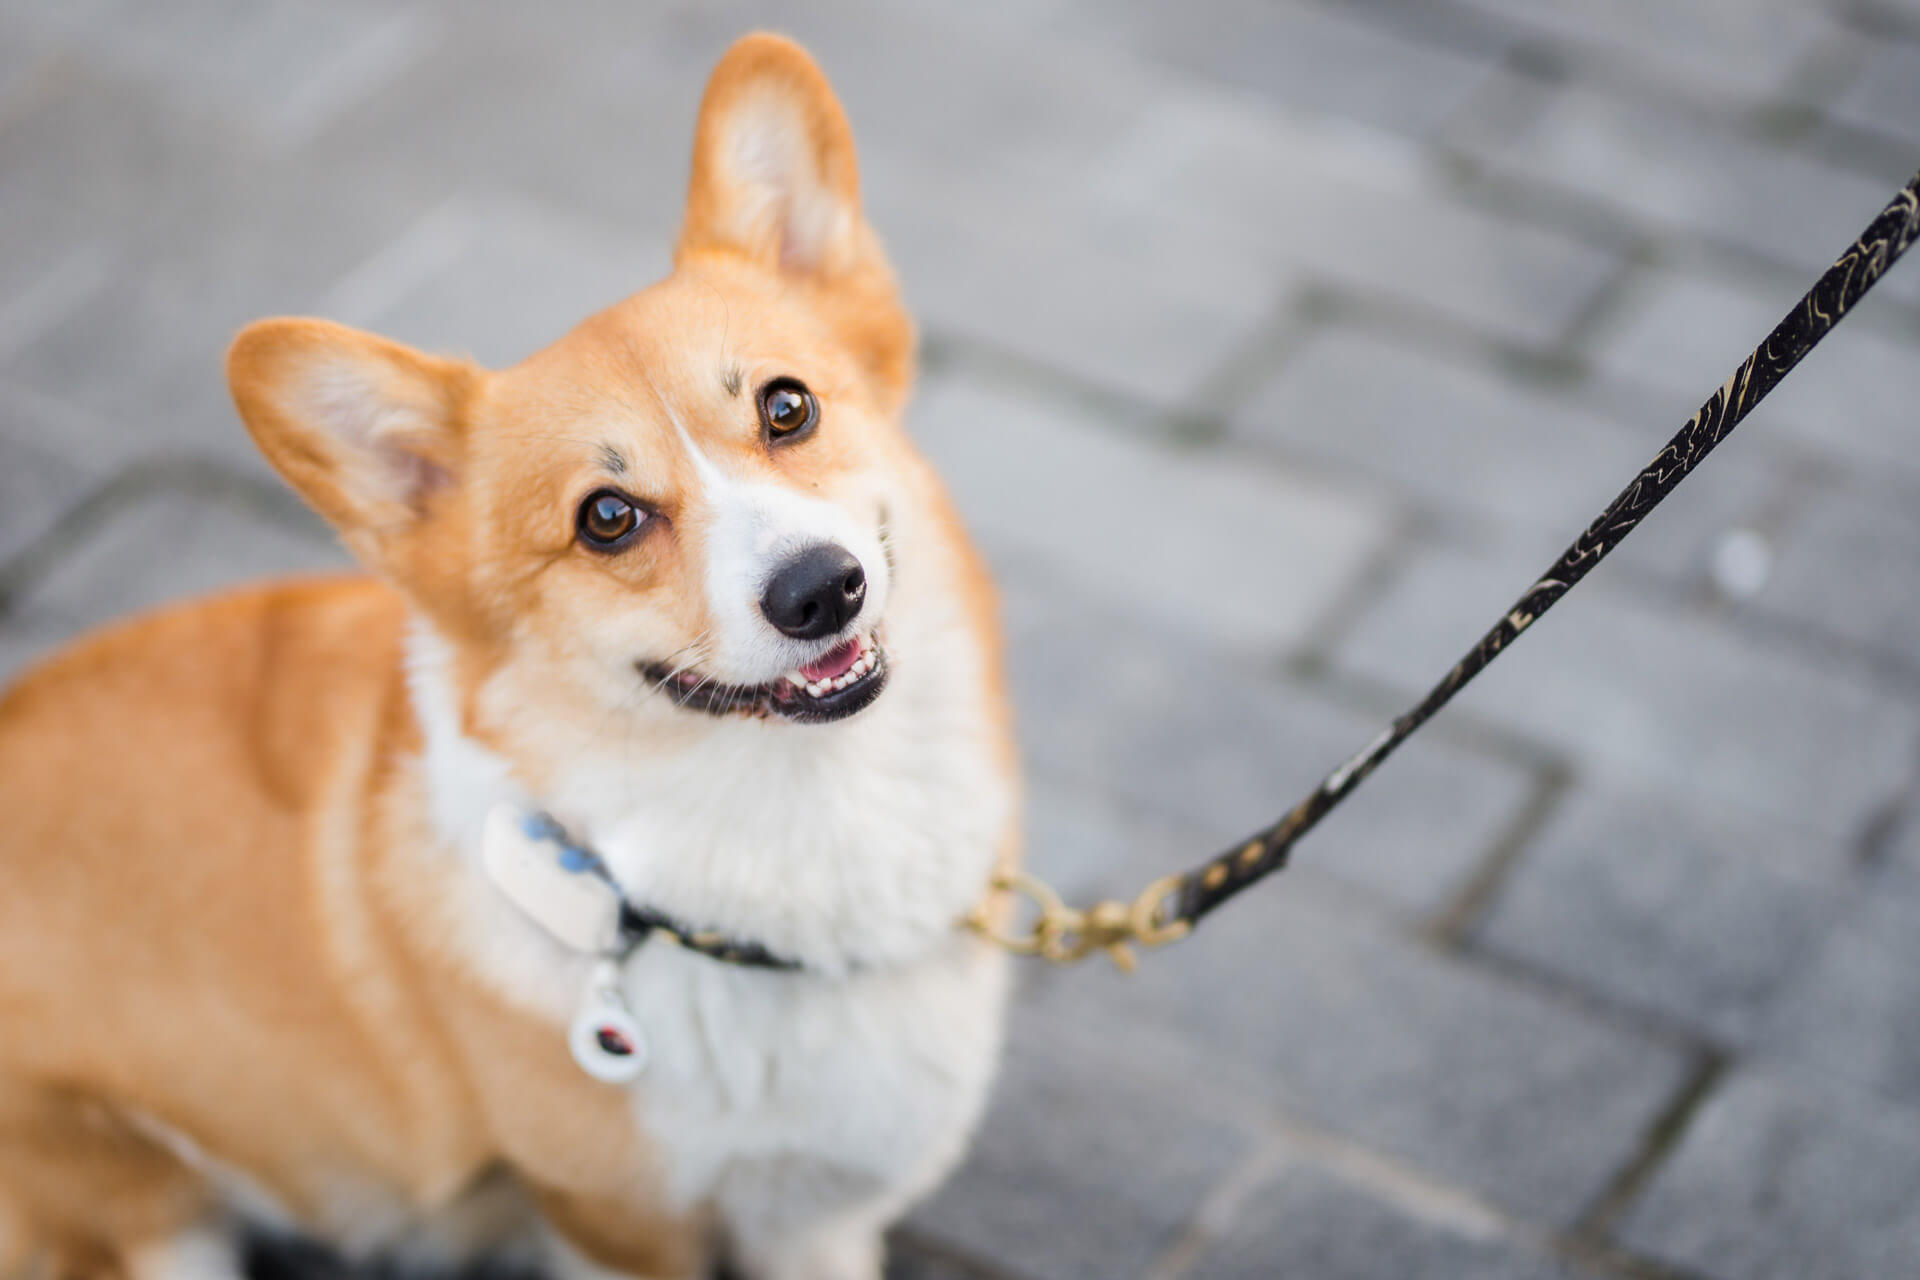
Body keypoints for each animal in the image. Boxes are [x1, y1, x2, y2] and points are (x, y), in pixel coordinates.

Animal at [0, 29, 1021, 1280]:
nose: (820, 587)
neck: (806, 828)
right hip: (139, 1214)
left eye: (788, 408)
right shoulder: (614, 1223)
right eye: (607, 518)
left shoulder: (817, 1219)